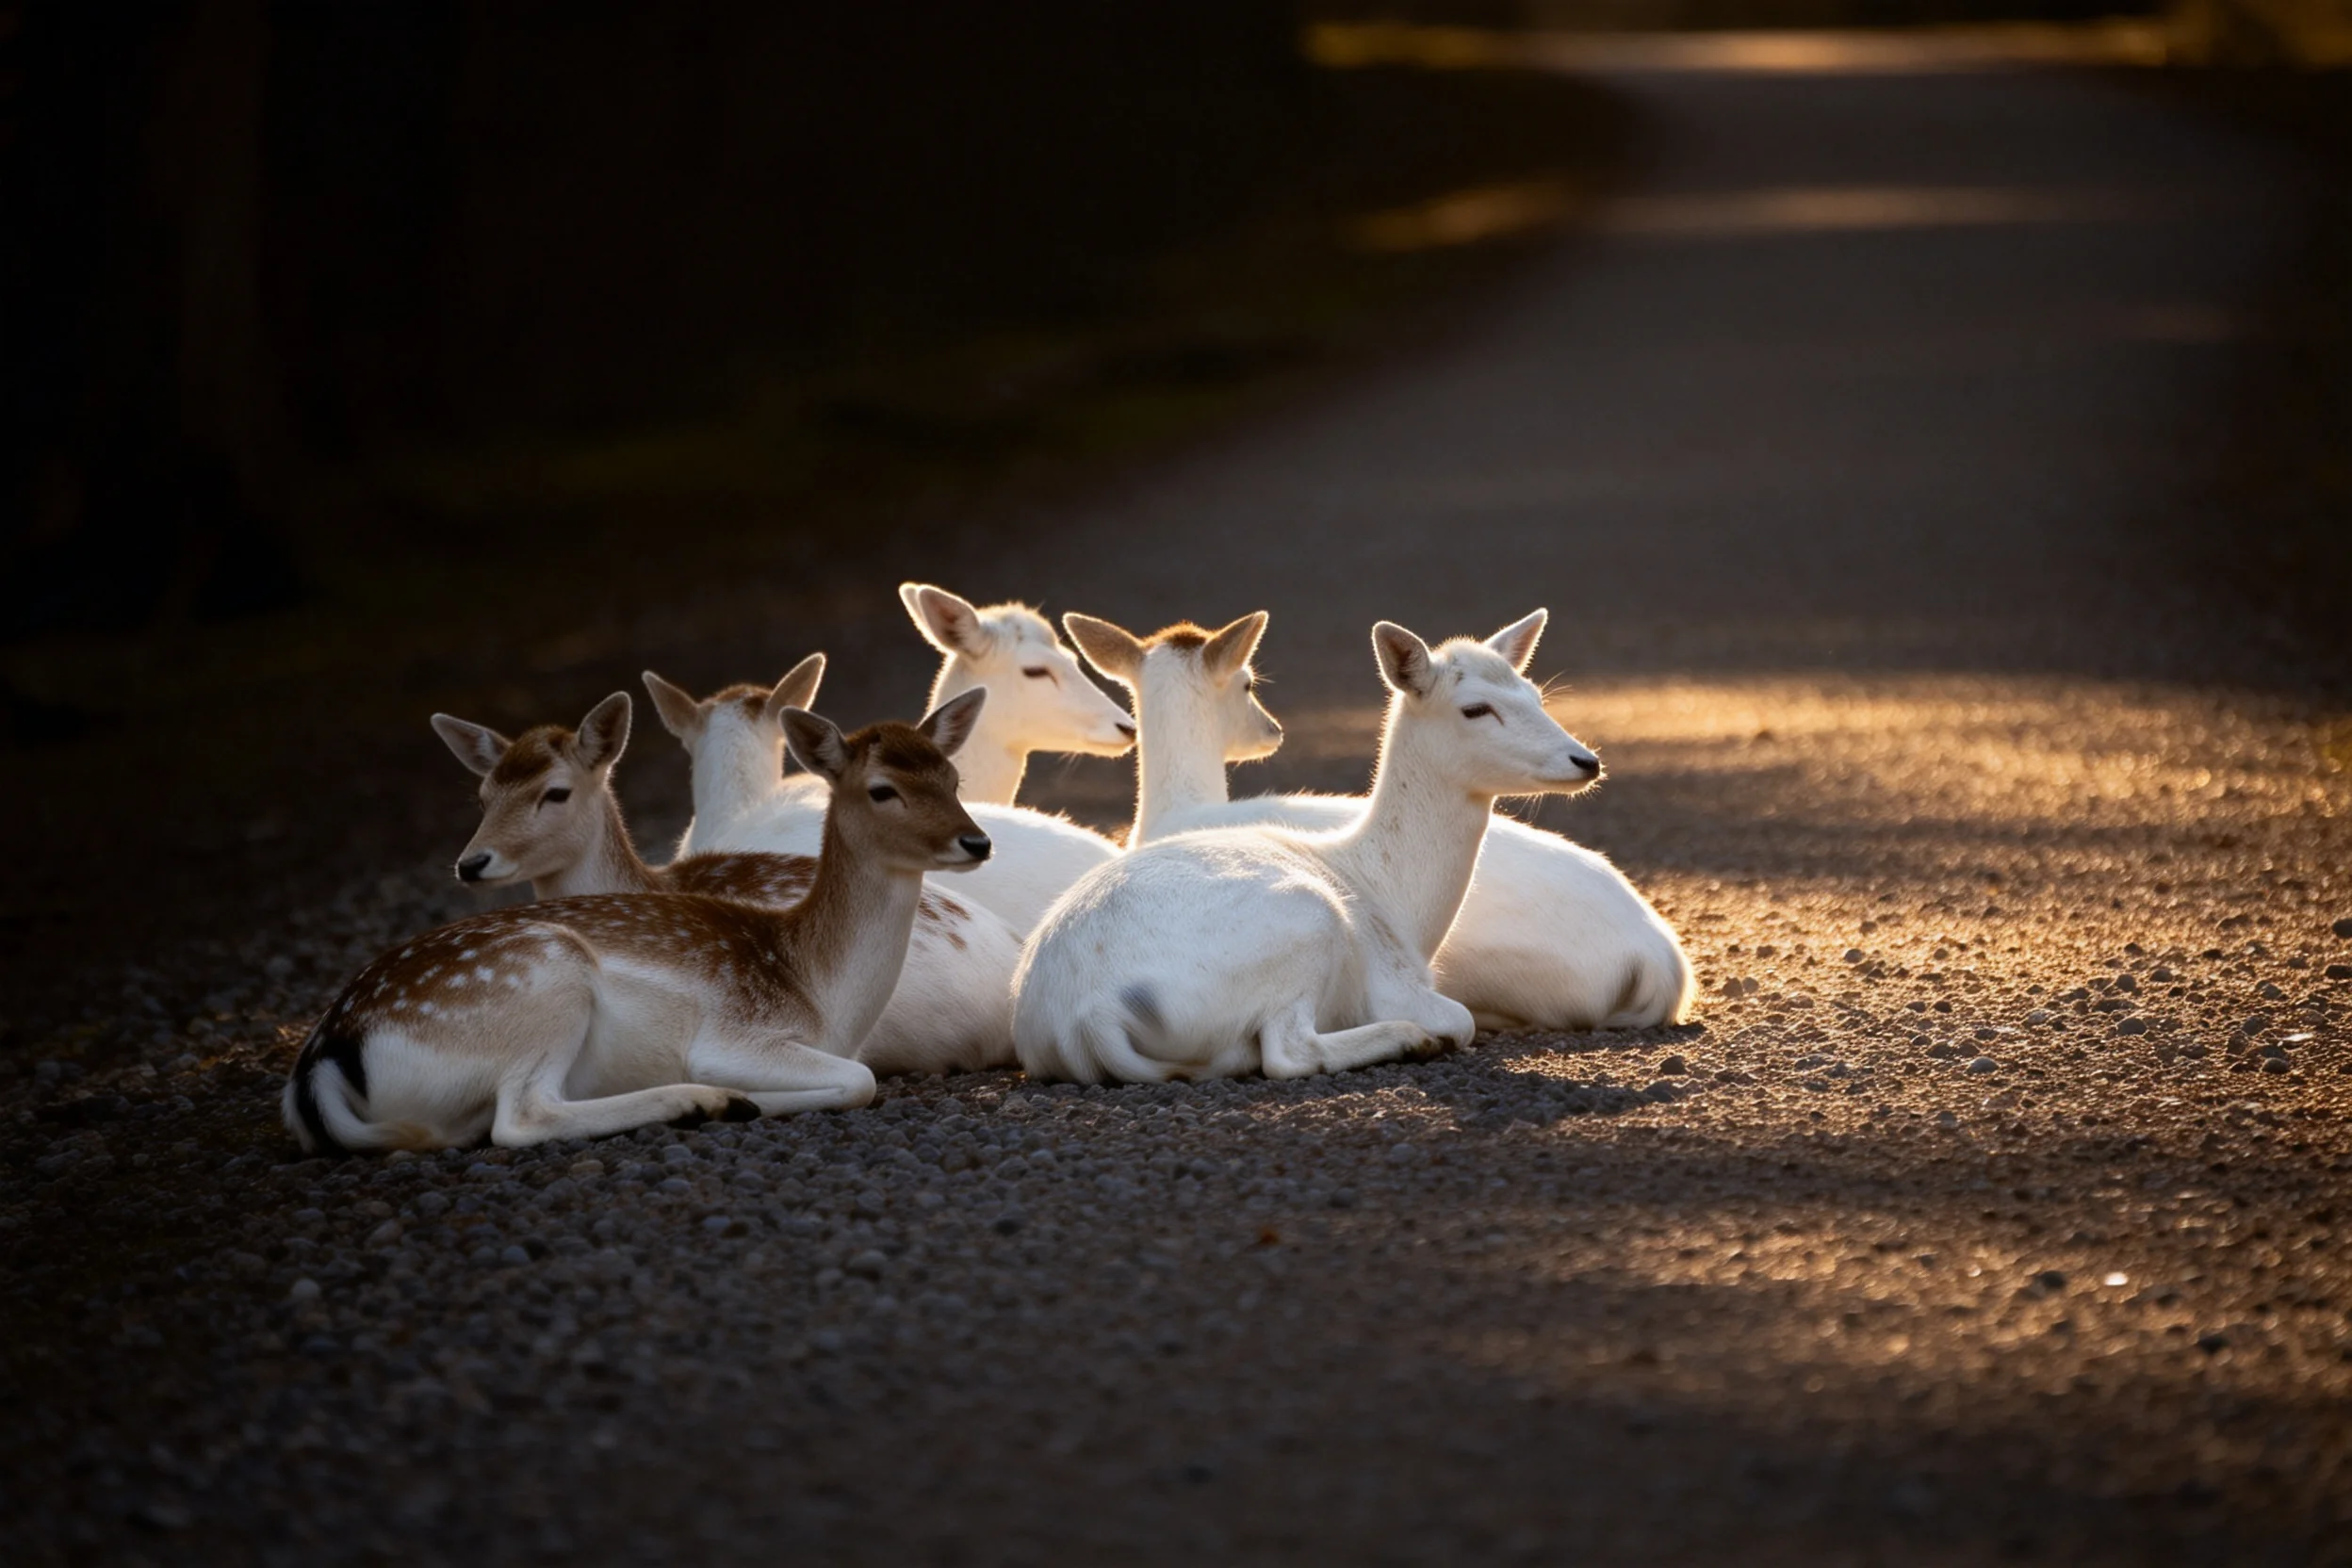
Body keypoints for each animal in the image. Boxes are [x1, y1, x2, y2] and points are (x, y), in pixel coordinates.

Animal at [1012, 613, 1604, 1084]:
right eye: (1475, 708)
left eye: (1536, 695)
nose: (1586, 761)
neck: (1400, 909)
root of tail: (1089, 1016)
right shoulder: (1390, 983)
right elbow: (1462, 1016)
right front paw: (1426, 1033)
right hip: (1305, 923)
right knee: (1287, 1052)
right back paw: (1409, 1039)